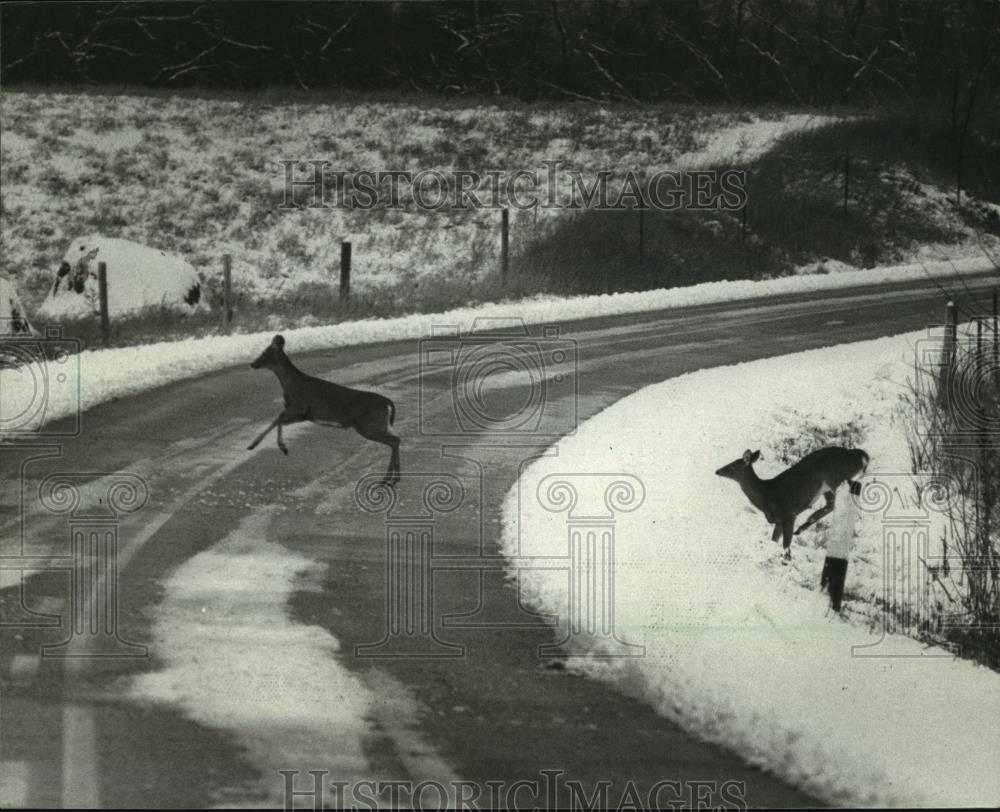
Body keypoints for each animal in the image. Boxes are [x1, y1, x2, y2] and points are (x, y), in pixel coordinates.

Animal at [248, 334, 400, 486]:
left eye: (265, 352)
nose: (252, 364)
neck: (291, 383)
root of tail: (387, 402)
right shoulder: (303, 415)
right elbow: (276, 419)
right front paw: (253, 444)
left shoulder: (300, 407)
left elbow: (278, 417)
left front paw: (282, 447)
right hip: (374, 425)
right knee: (395, 440)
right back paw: (392, 479)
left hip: (368, 425)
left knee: (394, 440)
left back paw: (388, 479)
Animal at [712, 448, 868, 560]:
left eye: (732, 465)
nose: (717, 470)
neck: (765, 494)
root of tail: (861, 455)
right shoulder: (778, 521)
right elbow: (774, 540)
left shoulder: (788, 513)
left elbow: (786, 544)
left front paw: (786, 559)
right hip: (827, 487)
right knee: (831, 504)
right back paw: (803, 527)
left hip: (835, 478)